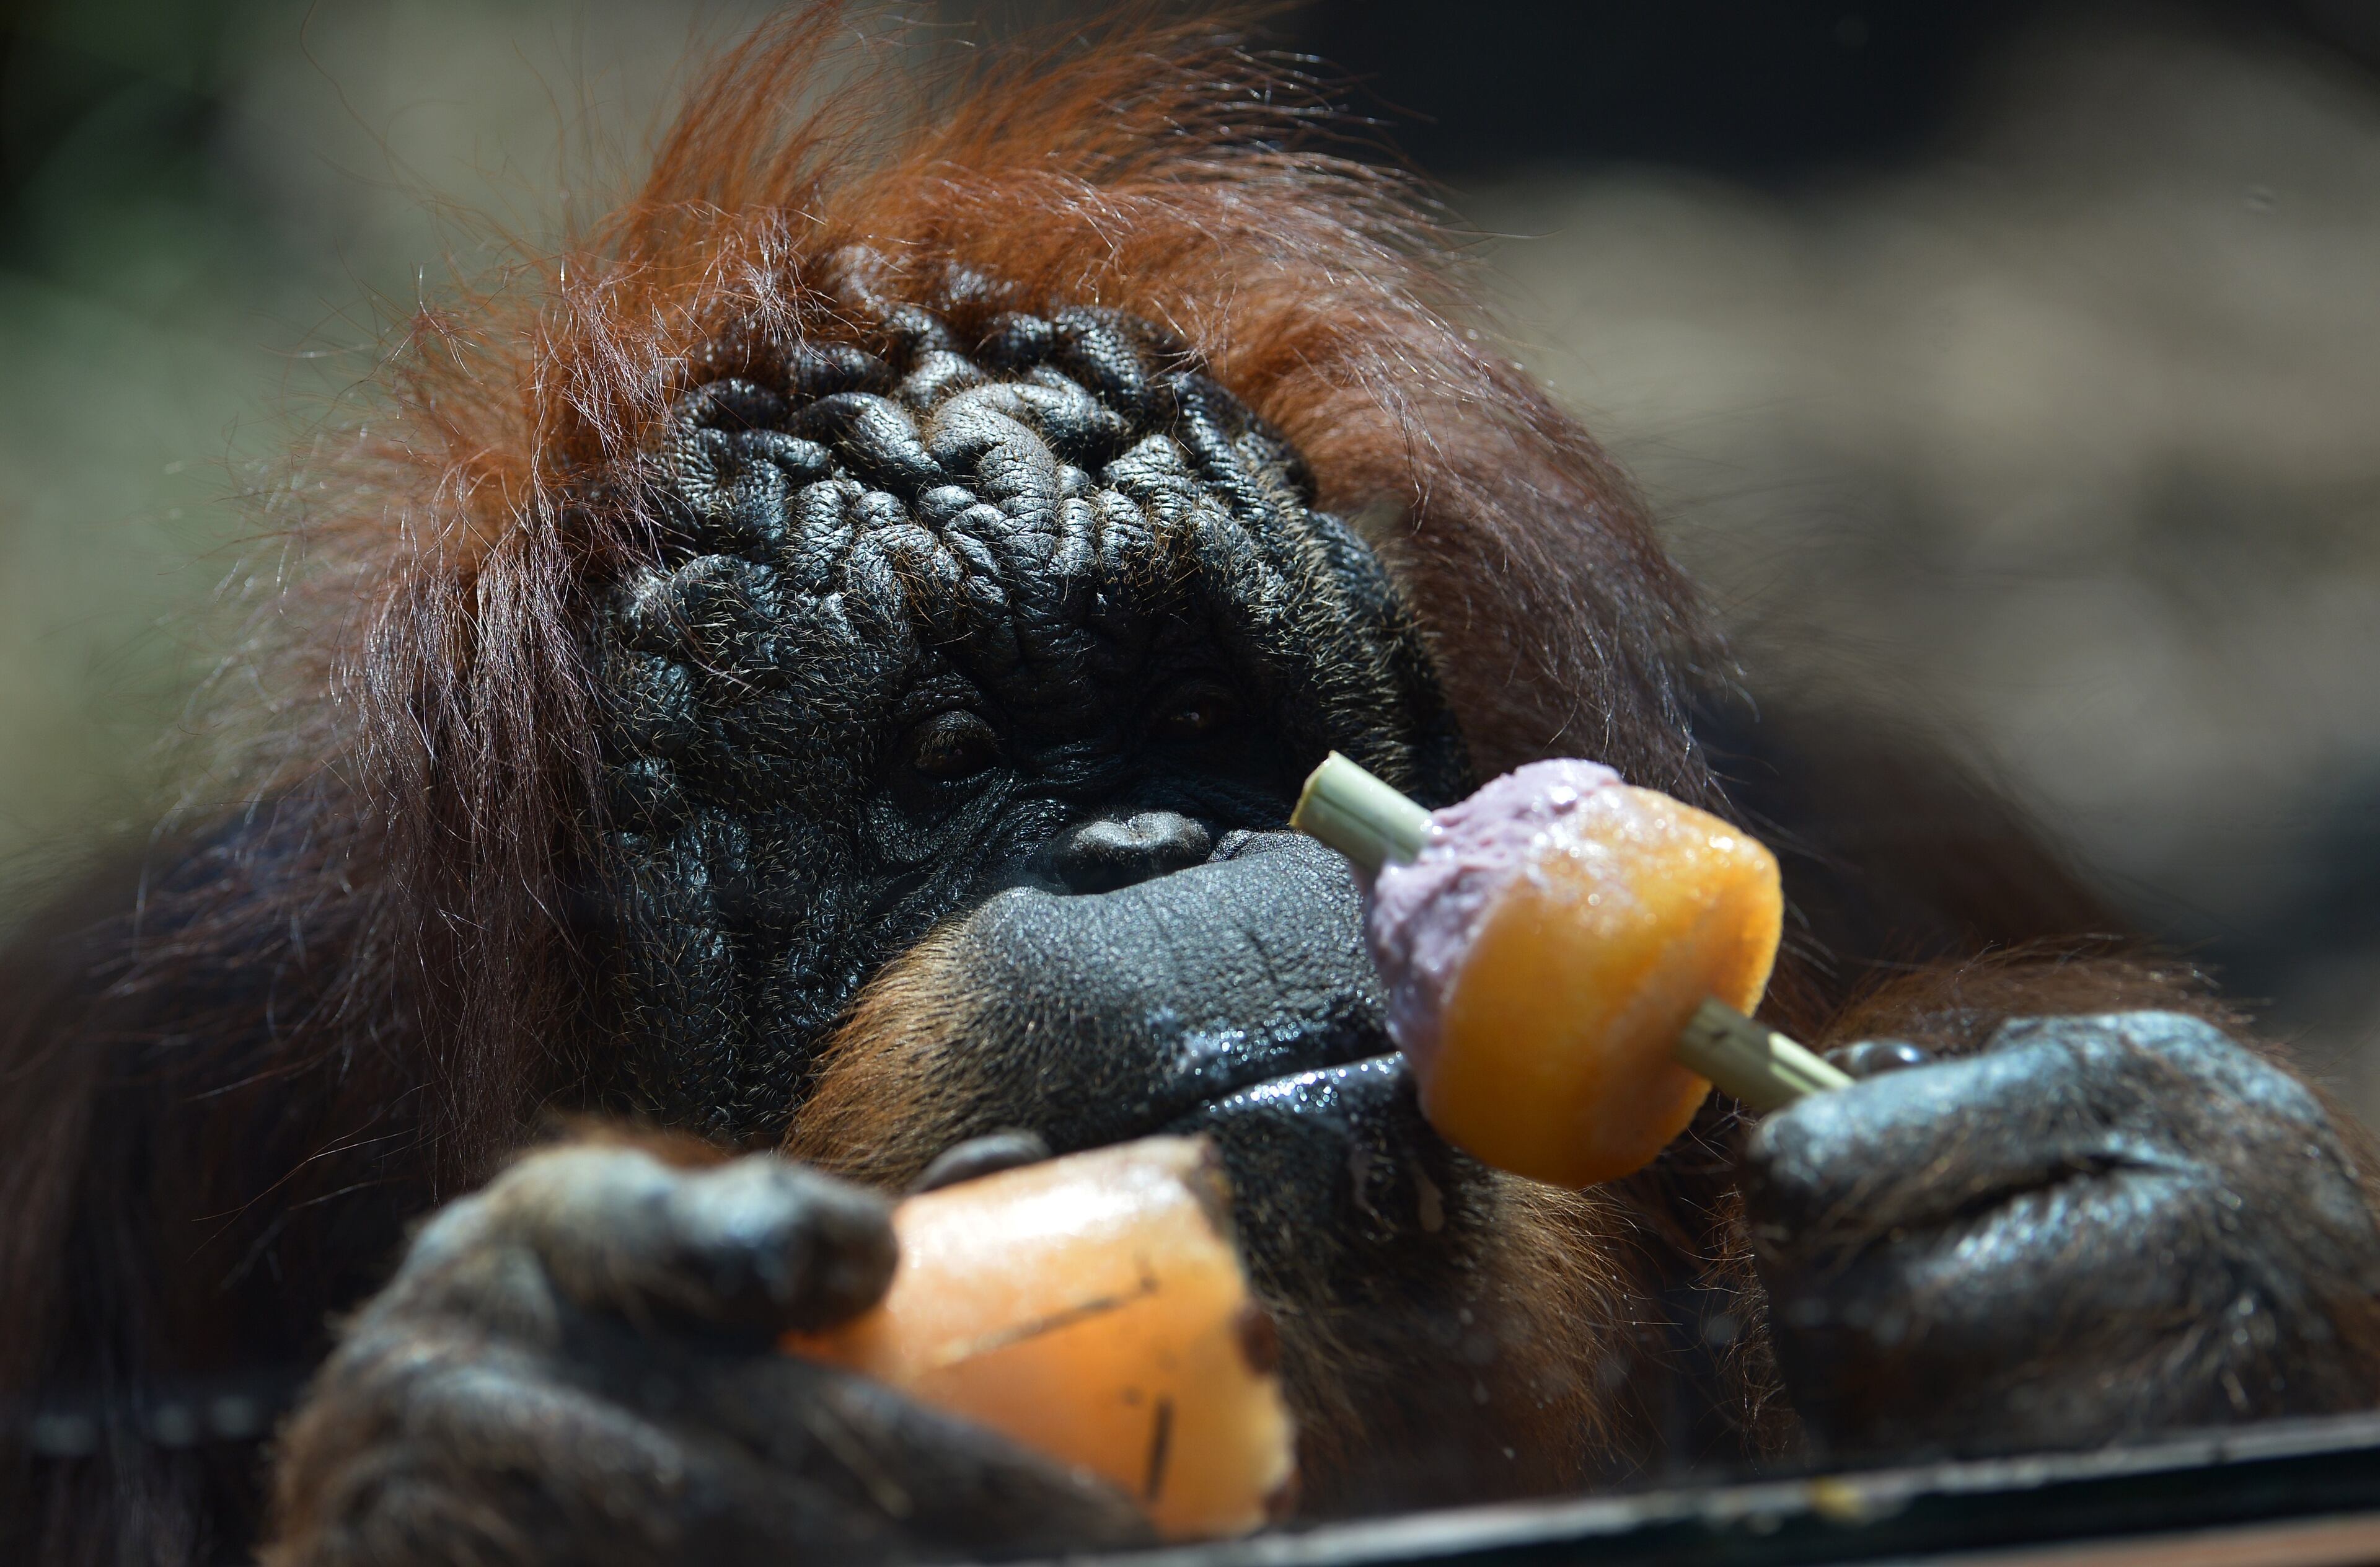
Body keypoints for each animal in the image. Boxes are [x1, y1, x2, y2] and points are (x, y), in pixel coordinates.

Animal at [4, 13, 2379, 1566]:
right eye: (945, 763)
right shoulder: (132, 1094)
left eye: (1198, 717)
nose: (1149, 835)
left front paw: (2141, 1230)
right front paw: (567, 1441)